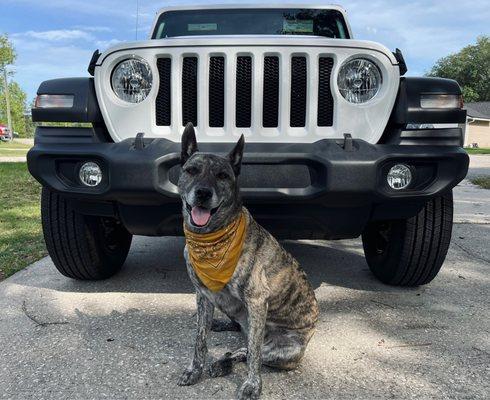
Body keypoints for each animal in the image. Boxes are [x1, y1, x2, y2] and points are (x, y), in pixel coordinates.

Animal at [176, 123, 318, 398]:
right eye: (191, 170)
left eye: (223, 175)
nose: (203, 193)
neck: (210, 240)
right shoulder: (203, 295)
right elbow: (200, 340)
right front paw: (194, 370)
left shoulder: (257, 301)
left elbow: (253, 355)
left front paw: (253, 385)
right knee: (243, 341)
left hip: (288, 350)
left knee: (253, 350)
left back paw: (225, 362)